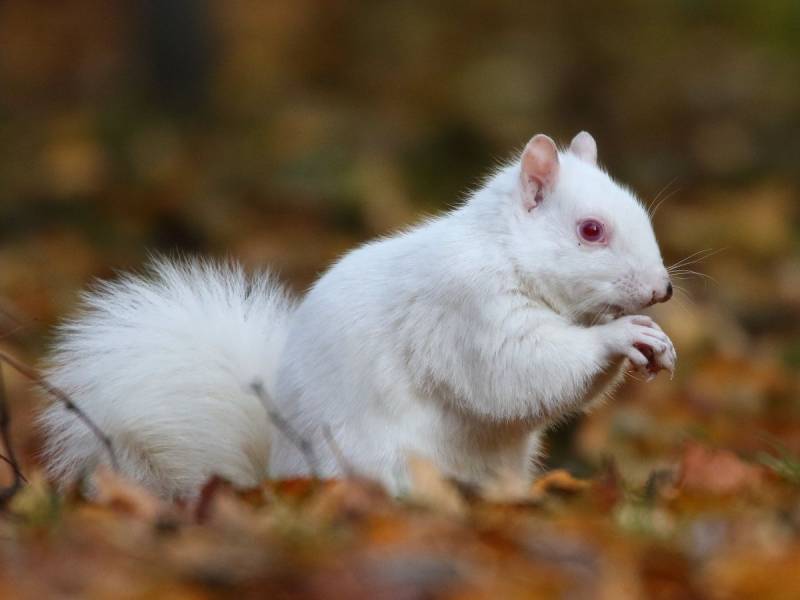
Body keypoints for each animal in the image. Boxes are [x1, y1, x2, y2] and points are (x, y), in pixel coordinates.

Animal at [37, 131, 676, 496]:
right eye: (590, 231)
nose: (662, 290)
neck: (503, 251)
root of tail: (276, 476)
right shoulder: (465, 311)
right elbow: (517, 370)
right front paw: (622, 335)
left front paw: (657, 341)